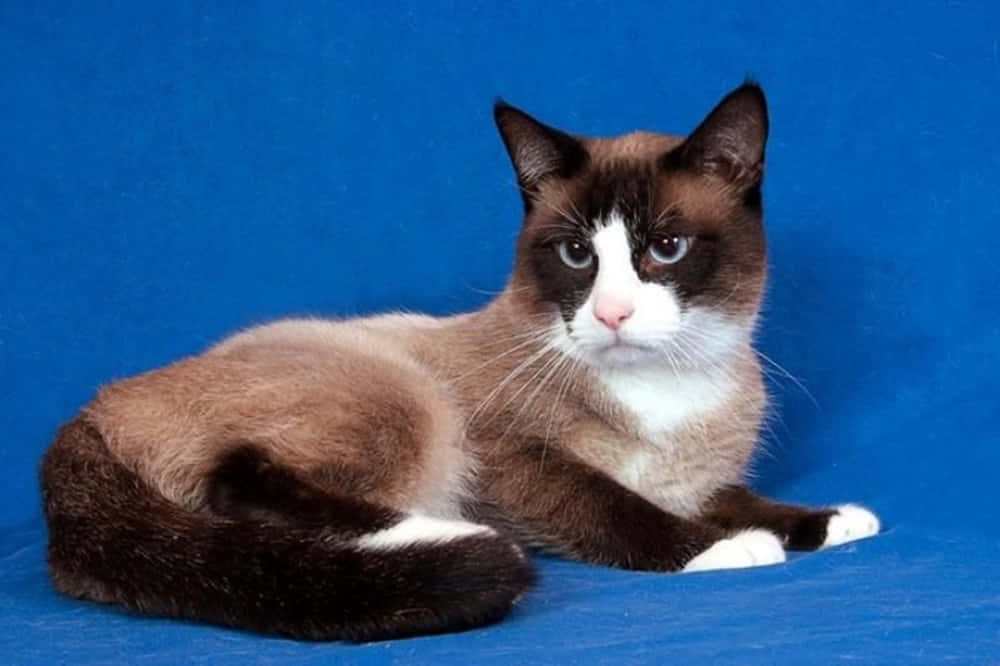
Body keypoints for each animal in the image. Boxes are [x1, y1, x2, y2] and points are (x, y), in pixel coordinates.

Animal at [43, 83, 880, 640]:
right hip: (412, 400)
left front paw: (829, 521)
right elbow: (613, 504)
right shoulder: (516, 459)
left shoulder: (698, 481)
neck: (668, 390)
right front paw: (722, 548)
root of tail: (94, 403)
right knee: (237, 482)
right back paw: (438, 532)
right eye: (577, 256)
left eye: (665, 248)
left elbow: (742, 497)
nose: (612, 313)